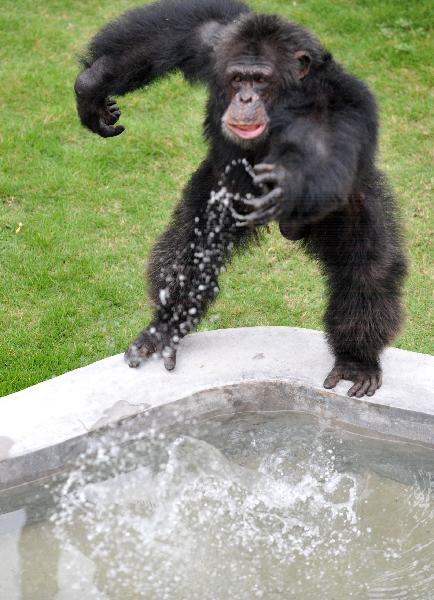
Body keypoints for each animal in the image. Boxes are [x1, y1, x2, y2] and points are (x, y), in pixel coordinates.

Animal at [73, 0, 406, 396]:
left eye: (260, 80)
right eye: (238, 79)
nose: (245, 97)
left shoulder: (336, 106)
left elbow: (328, 148)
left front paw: (287, 181)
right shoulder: (215, 45)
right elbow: (184, 25)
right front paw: (93, 83)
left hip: (349, 208)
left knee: (368, 269)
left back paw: (357, 359)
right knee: (190, 245)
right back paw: (166, 326)